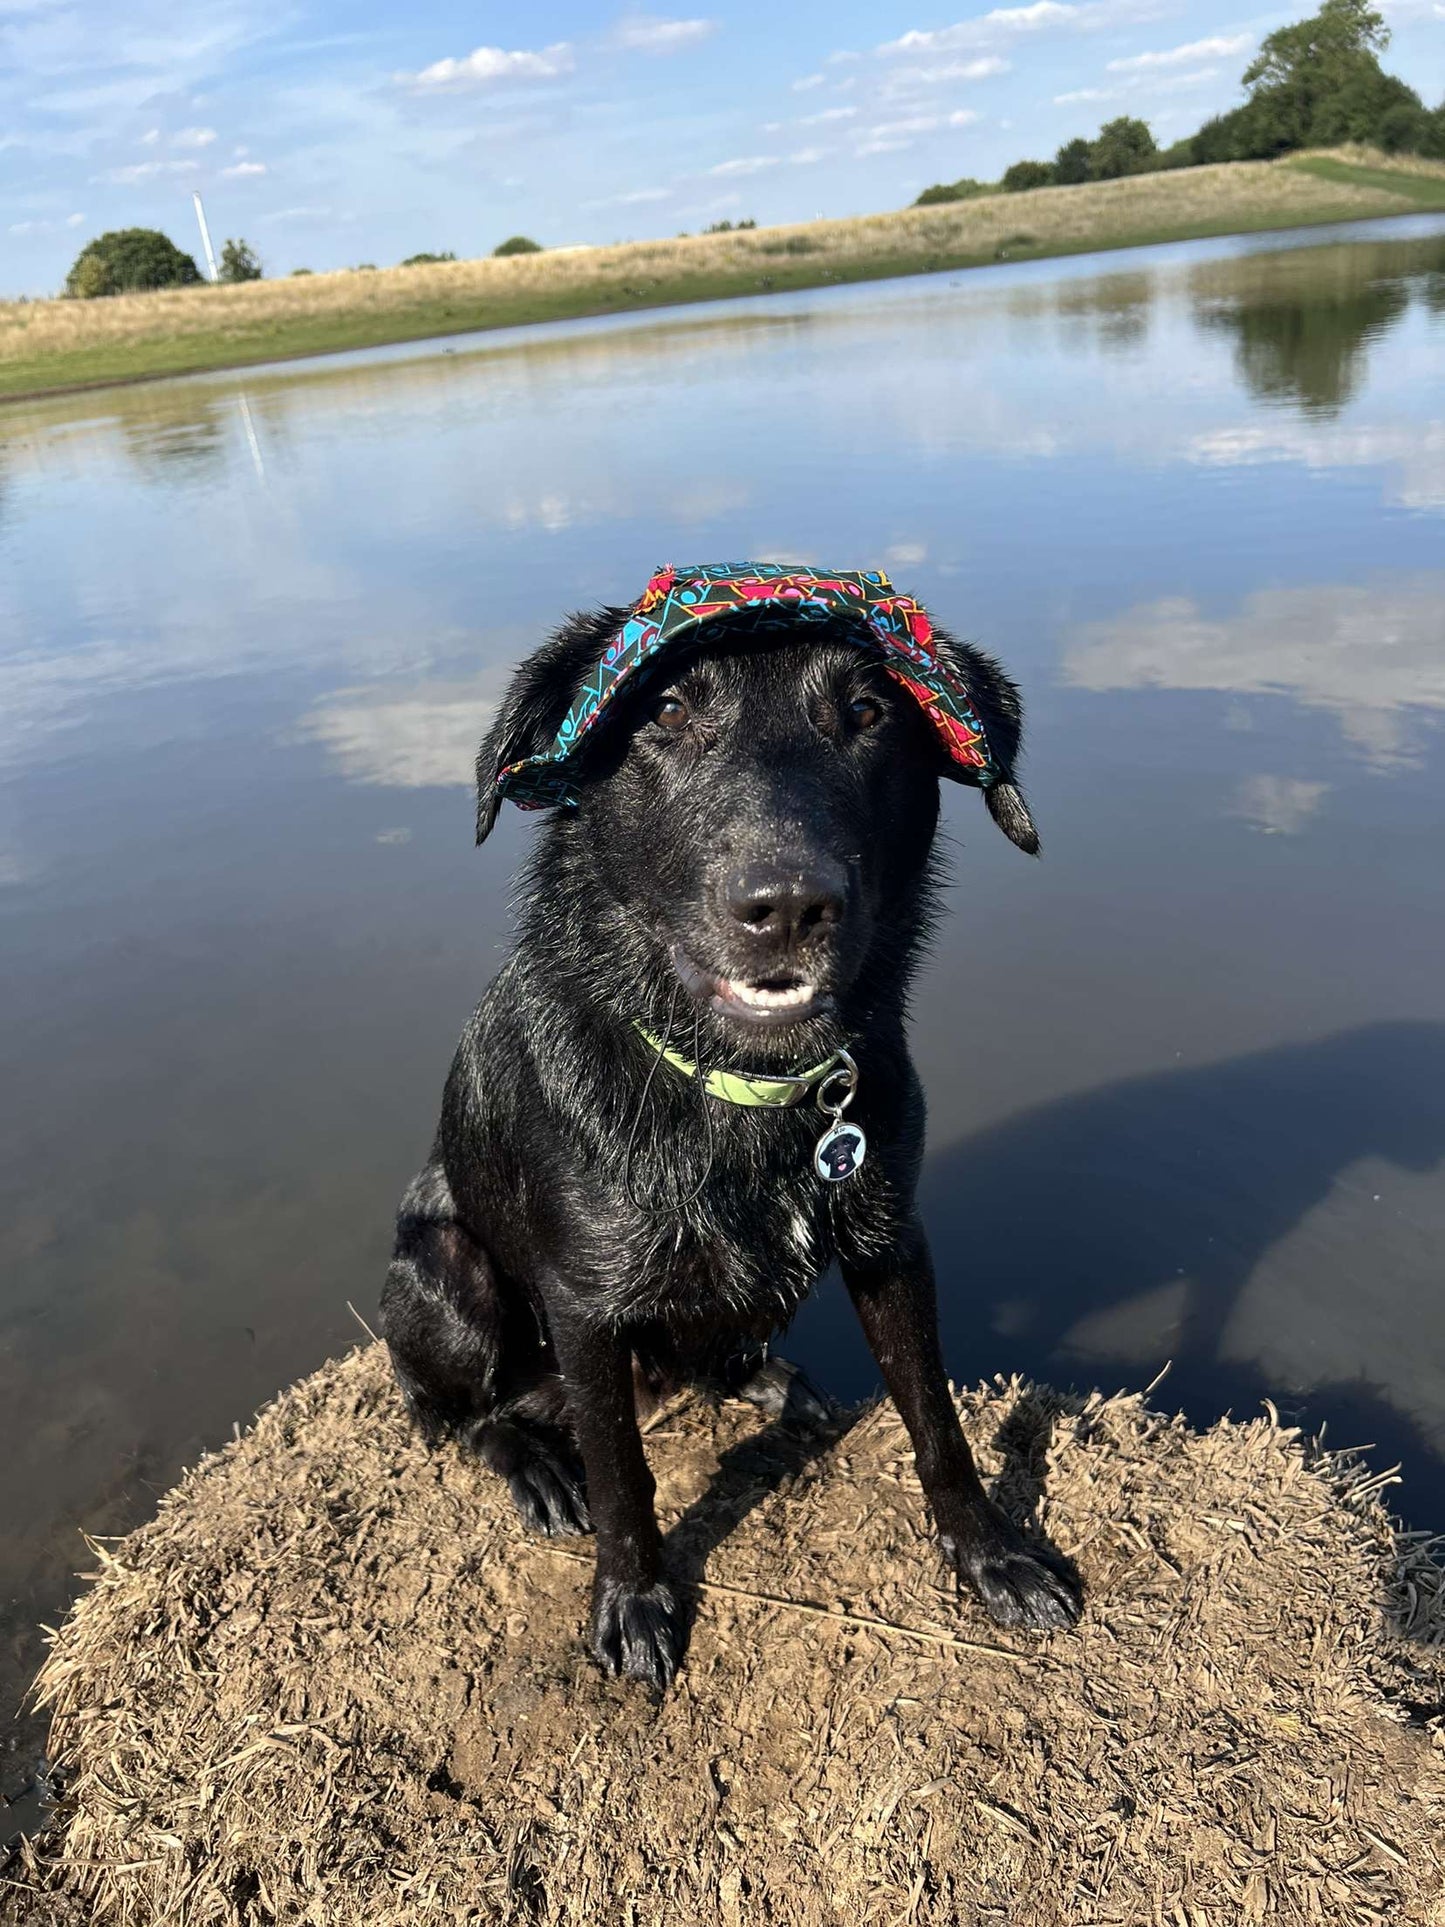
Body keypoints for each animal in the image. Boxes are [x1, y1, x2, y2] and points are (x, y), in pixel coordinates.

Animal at [379, 593, 1078, 1680]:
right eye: (663, 709)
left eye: (868, 711)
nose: (785, 904)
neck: (747, 1088)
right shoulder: (583, 1303)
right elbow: (621, 1473)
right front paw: (632, 1599)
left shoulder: (889, 1241)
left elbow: (935, 1415)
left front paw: (988, 1551)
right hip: (442, 1271)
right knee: (454, 1413)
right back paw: (534, 1465)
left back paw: (765, 1380)